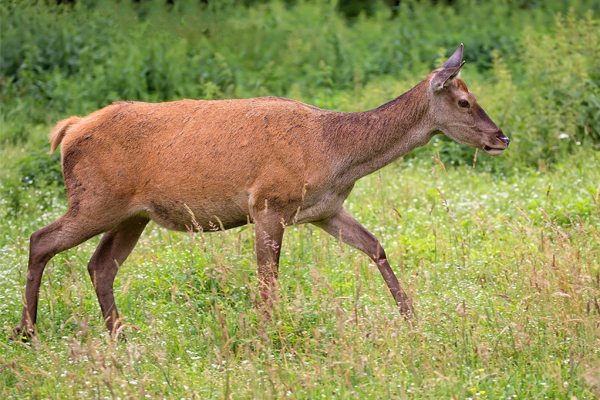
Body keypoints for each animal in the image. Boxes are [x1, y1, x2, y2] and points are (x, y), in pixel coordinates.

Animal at [12, 43, 510, 340]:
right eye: (464, 101)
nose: (501, 137)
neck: (334, 155)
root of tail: (67, 131)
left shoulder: (324, 209)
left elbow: (375, 246)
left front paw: (411, 317)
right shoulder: (269, 203)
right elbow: (268, 280)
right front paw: (268, 336)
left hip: (132, 214)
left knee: (100, 265)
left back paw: (119, 333)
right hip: (95, 199)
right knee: (41, 240)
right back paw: (27, 331)